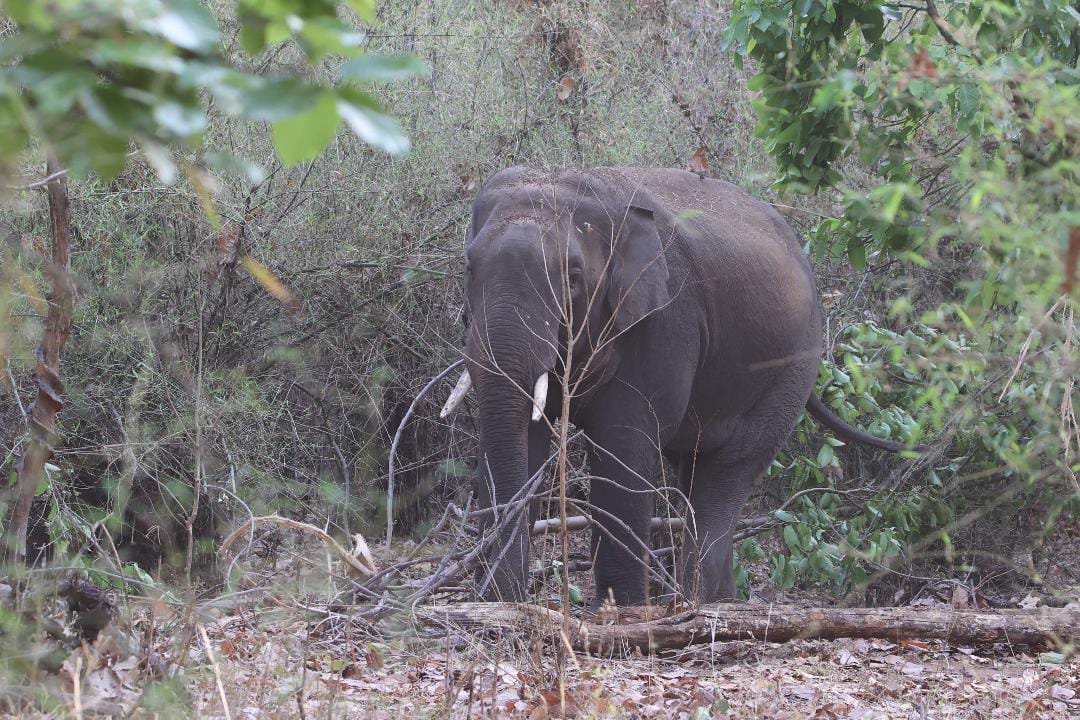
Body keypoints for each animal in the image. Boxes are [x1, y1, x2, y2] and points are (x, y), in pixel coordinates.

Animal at [440, 166, 922, 606]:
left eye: (573, 276)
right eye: (468, 265)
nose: (495, 596)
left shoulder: (665, 321)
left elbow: (623, 442)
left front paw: (617, 613)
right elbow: (527, 434)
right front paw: (499, 603)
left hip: (791, 371)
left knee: (724, 477)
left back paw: (697, 604)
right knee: (694, 473)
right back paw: (711, 602)